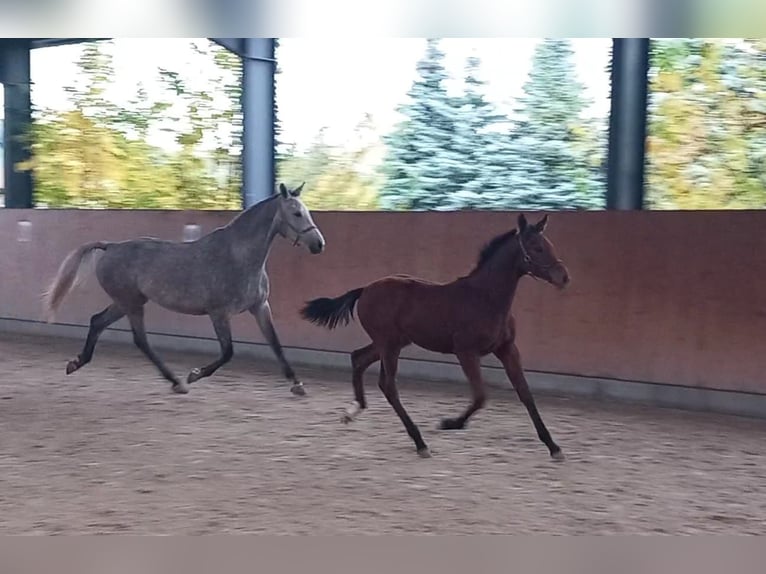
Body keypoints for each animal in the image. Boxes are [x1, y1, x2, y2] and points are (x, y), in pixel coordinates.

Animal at [300, 214, 568, 462]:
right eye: (536, 247)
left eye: (550, 244)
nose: (564, 277)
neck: (485, 298)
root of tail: (365, 289)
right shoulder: (466, 351)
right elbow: (480, 396)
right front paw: (449, 423)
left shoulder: (507, 349)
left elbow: (525, 394)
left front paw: (554, 447)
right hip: (389, 345)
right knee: (388, 385)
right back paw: (420, 443)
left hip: (392, 342)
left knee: (358, 358)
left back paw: (353, 411)